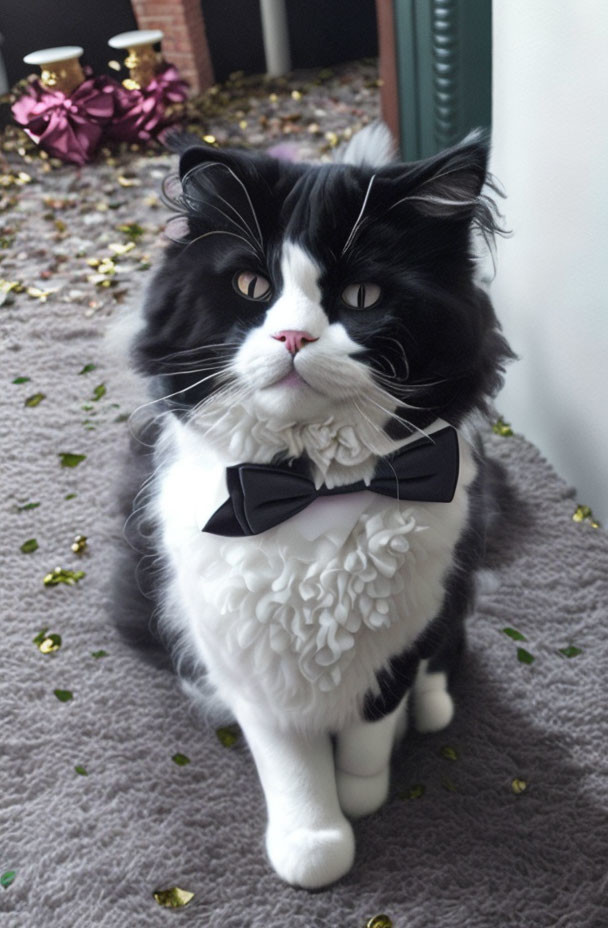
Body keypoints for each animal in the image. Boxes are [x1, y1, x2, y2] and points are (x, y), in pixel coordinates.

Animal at [115, 119, 512, 888]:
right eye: (252, 285)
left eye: (361, 297)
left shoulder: (407, 631)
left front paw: (363, 793)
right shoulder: (247, 658)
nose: (292, 336)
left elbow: (371, 725)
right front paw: (315, 845)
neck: (315, 488)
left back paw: (434, 709)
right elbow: (293, 766)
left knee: (446, 660)